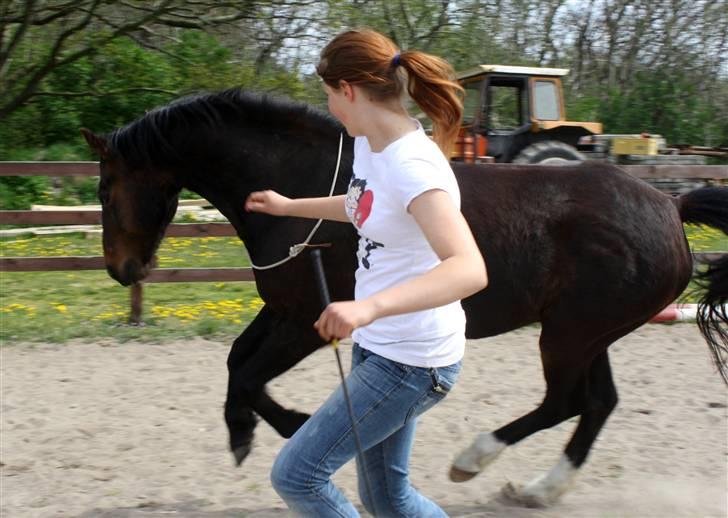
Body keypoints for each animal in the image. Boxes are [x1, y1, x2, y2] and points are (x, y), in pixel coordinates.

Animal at [81, 89, 728, 508]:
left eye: (106, 188)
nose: (121, 270)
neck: (307, 186)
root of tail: (670, 206)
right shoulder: (284, 309)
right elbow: (236, 363)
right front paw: (247, 433)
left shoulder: (308, 319)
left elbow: (247, 373)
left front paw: (289, 427)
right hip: (591, 335)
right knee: (598, 404)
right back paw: (540, 489)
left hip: (569, 335)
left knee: (566, 401)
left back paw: (475, 459)